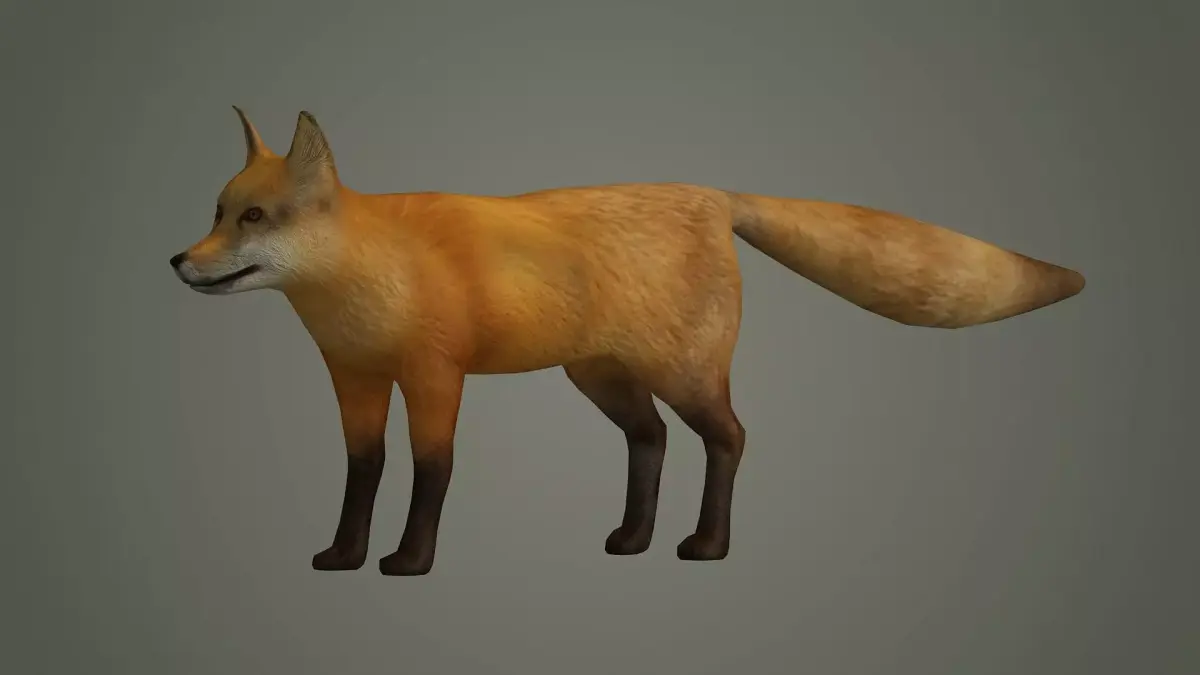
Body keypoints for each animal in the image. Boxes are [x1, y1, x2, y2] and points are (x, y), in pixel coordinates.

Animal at [170, 107, 1085, 576]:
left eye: (255, 217)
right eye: (217, 210)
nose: (178, 261)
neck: (367, 277)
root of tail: (711, 192)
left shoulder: (434, 373)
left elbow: (431, 473)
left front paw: (409, 559)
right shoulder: (355, 377)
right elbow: (363, 472)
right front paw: (344, 553)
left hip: (685, 374)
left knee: (730, 438)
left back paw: (707, 545)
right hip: (603, 379)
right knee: (651, 440)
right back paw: (632, 538)